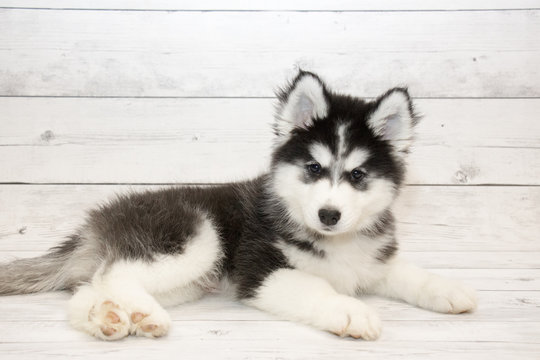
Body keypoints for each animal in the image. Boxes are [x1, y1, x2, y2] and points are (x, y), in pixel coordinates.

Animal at [0, 71, 474, 340]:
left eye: (357, 175)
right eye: (313, 168)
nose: (329, 215)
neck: (333, 242)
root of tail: (97, 222)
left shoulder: (374, 260)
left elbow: (410, 273)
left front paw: (450, 290)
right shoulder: (259, 270)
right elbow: (316, 287)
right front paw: (351, 310)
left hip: (185, 278)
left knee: (87, 290)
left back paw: (108, 320)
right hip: (193, 238)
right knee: (114, 274)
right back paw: (142, 314)